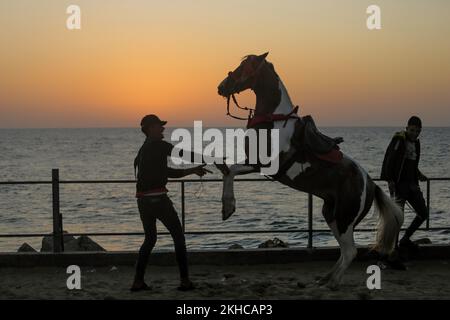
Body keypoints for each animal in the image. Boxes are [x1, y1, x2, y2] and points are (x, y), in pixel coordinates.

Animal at [216, 52, 402, 288]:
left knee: (350, 252)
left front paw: (228, 207)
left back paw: (332, 282)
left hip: (344, 217)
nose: (221, 87)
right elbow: (227, 170)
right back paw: (325, 278)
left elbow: (229, 170)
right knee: (345, 250)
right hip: (332, 214)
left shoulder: (260, 163)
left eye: (245, 66)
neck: (273, 120)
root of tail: (370, 184)